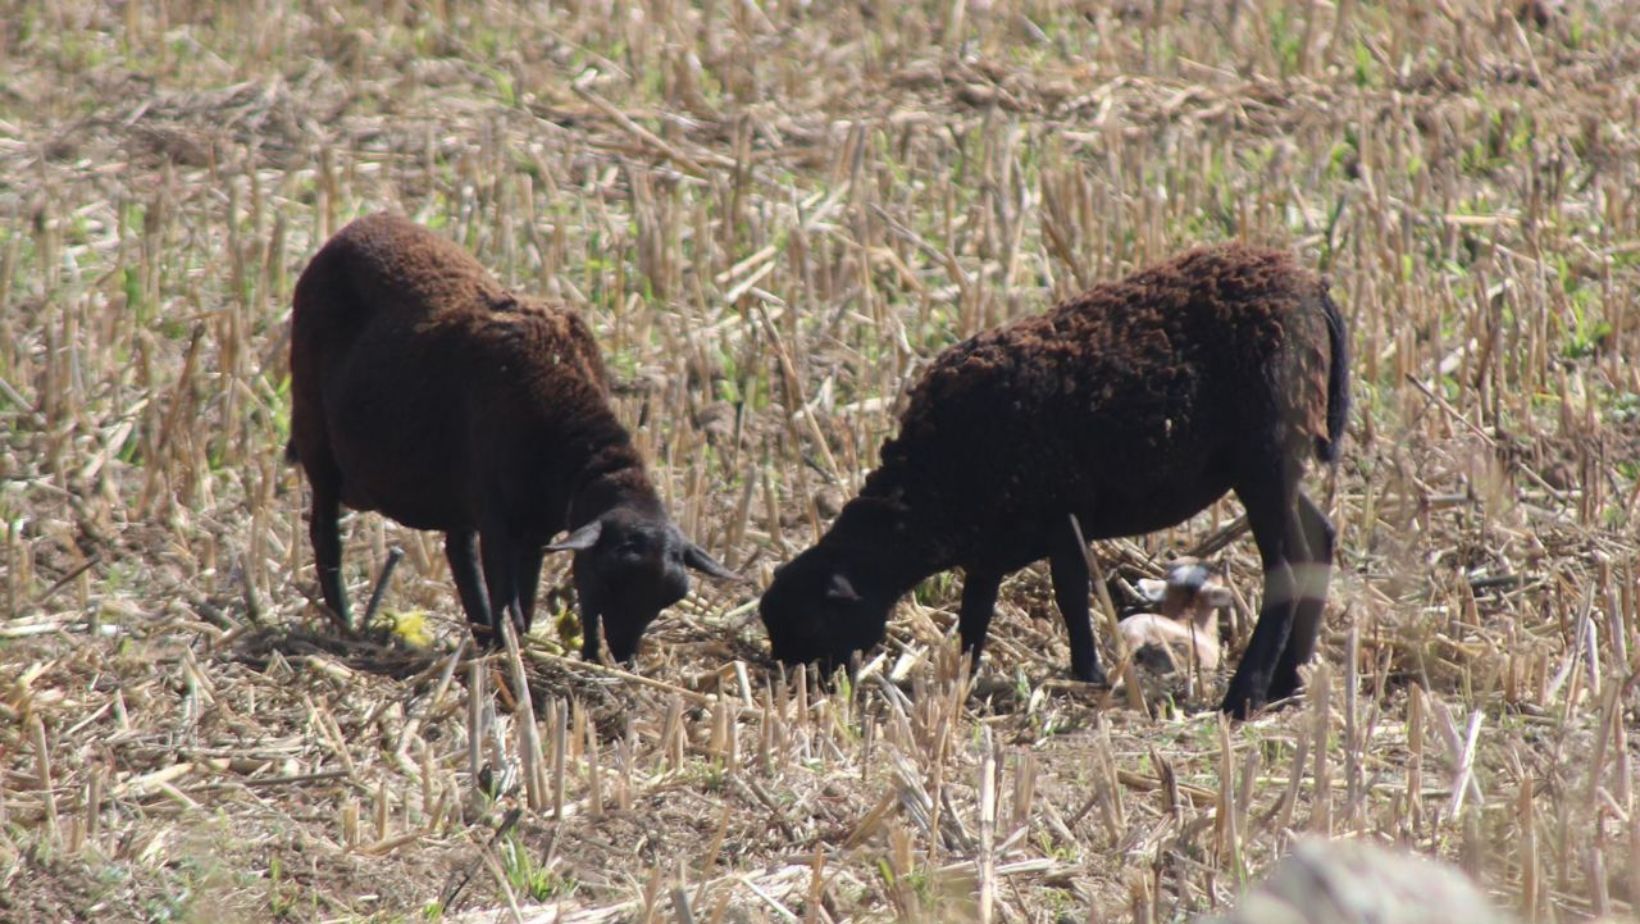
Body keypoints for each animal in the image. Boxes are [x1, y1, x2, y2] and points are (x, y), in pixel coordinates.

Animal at [288, 211, 738, 656]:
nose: (621, 657)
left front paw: (509, 644)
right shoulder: (499, 517)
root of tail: (354, 227)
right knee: (326, 536)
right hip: (316, 435)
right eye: (607, 577)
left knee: (458, 548)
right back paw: (344, 623)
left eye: (670, 596)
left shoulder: (535, 528)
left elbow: (525, 595)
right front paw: (514, 651)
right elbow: (511, 600)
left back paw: (479, 632)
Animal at [754, 244, 1344, 715]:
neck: (928, 490)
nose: (804, 690)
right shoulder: (990, 546)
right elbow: (976, 613)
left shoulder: (1063, 516)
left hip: (1265, 453)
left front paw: (1090, 676)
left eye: (811, 624)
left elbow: (1069, 596)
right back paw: (1289, 683)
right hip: (1279, 459)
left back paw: (1246, 696)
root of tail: (1311, 288)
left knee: (1287, 563)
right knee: (1319, 538)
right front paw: (964, 674)